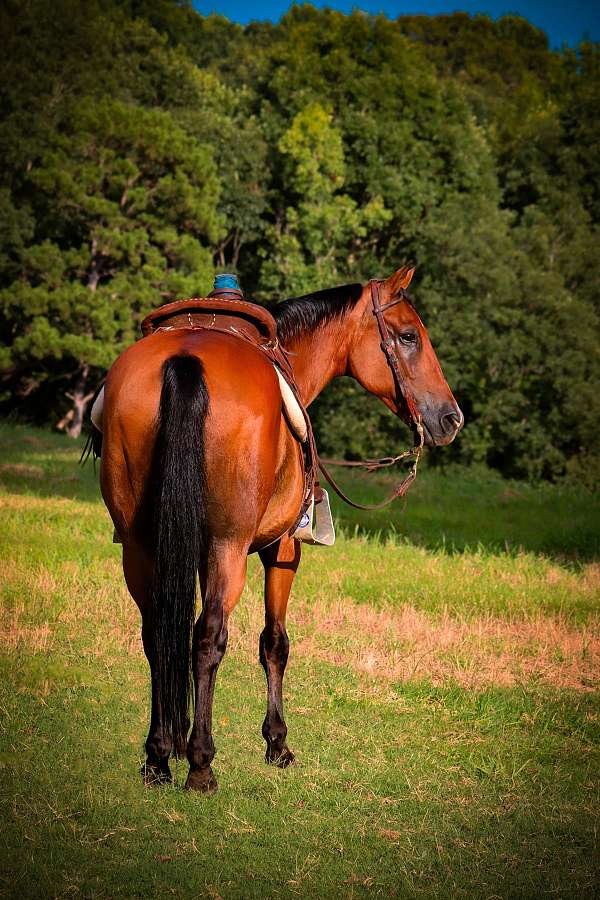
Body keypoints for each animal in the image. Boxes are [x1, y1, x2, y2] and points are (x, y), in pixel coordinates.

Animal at [97, 265, 462, 793]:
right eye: (409, 335)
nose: (451, 418)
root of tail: (186, 360)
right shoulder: (283, 549)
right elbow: (274, 642)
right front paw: (277, 743)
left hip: (141, 547)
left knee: (158, 634)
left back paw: (159, 757)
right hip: (228, 546)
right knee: (210, 638)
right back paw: (201, 765)